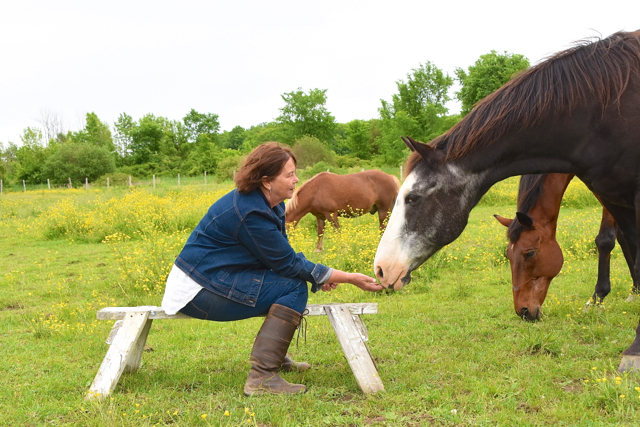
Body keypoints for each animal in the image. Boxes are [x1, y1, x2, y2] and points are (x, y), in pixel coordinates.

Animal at [492, 175, 636, 320]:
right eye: (508, 255)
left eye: (530, 253)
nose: (523, 312)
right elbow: (625, 237)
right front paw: (636, 290)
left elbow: (606, 240)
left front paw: (595, 300)